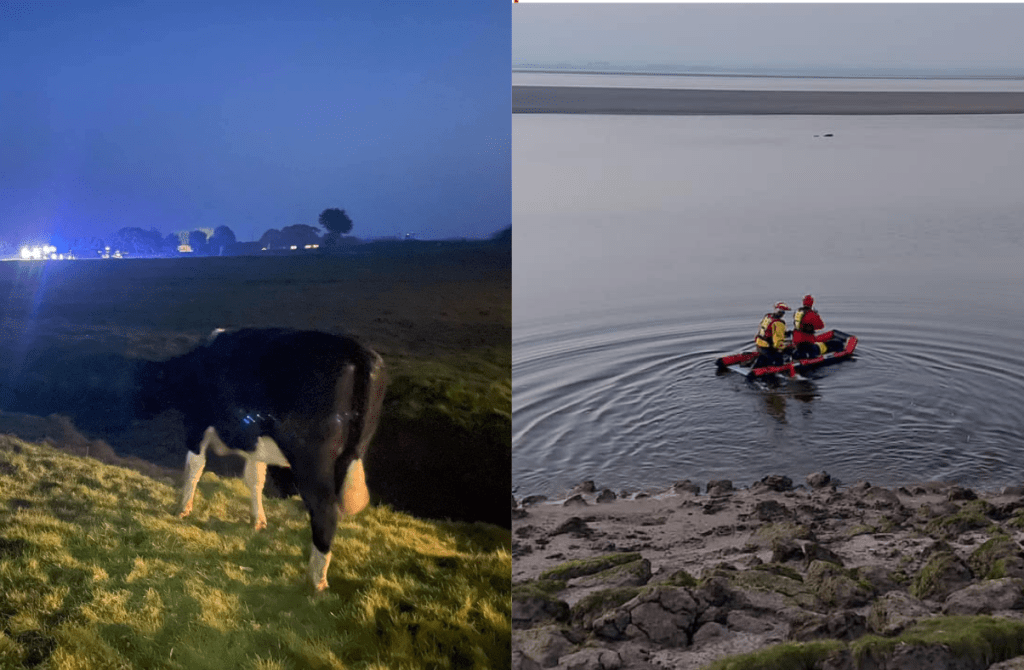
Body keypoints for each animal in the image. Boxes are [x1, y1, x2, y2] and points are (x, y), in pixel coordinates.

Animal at [138, 327, 385, 590]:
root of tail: (357, 351)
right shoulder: (255, 445)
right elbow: (255, 479)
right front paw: (258, 520)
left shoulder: (196, 427)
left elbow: (194, 468)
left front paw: (183, 509)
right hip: (350, 455)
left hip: (312, 461)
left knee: (325, 511)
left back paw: (316, 581)